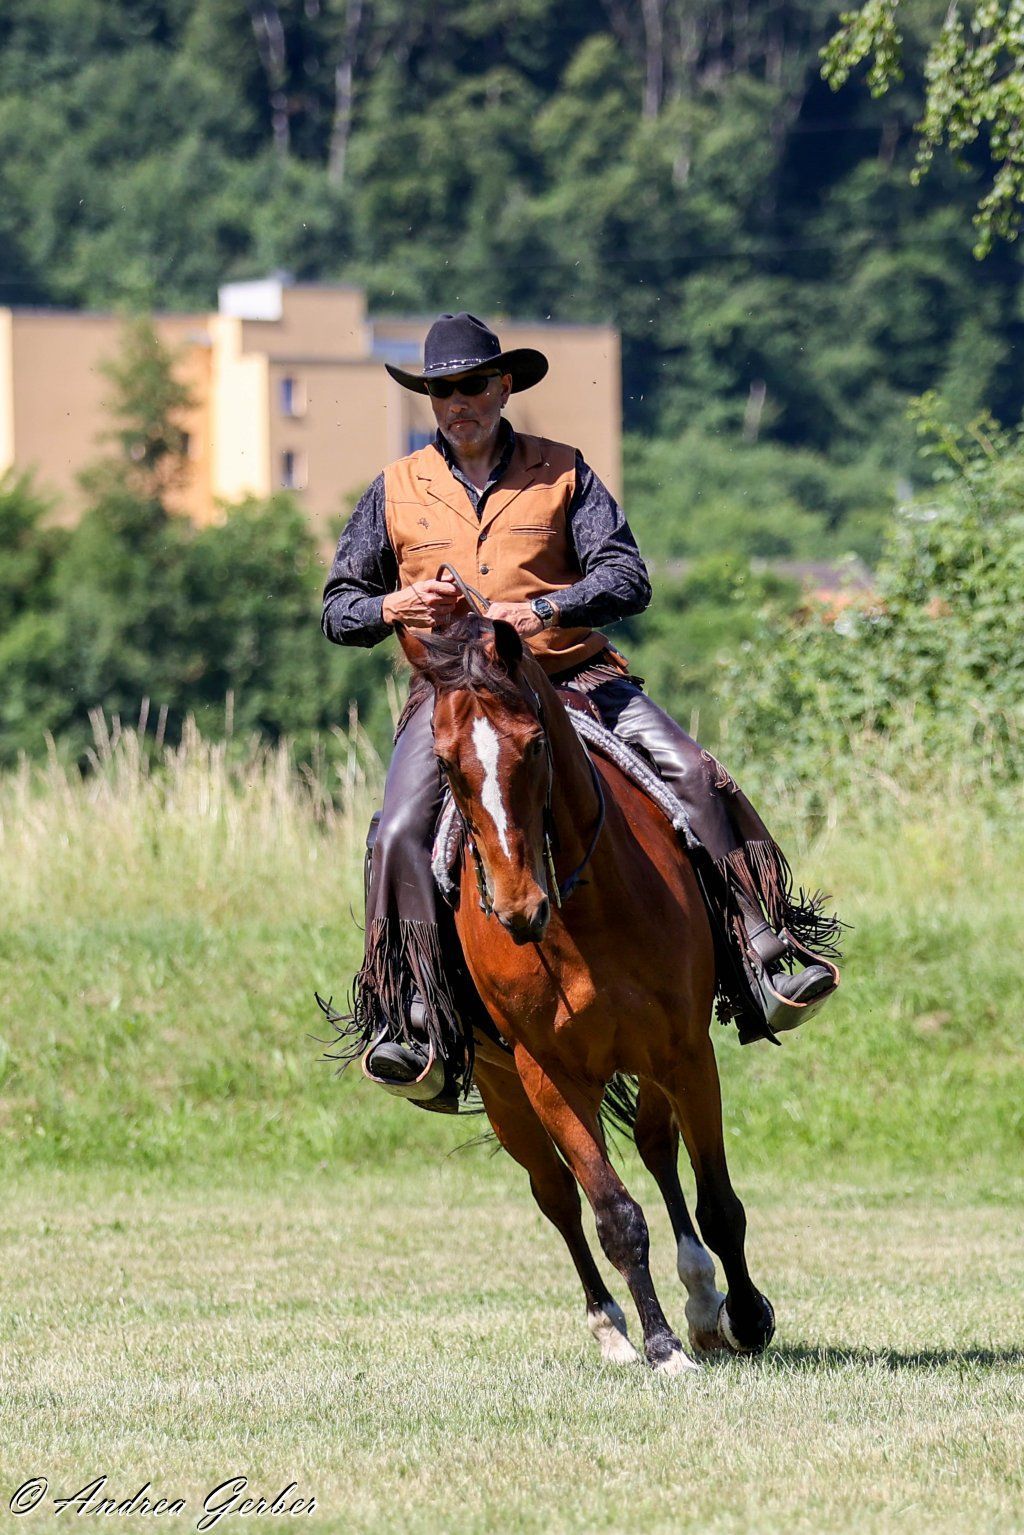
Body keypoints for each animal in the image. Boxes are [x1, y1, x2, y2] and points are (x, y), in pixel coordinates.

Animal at [397, 612, 776, 1374]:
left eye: (536, 744)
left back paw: (703, 1301)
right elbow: (613, 1214)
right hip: (506, 1090)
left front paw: (747, 1316)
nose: (517, 909)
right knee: (558, 1196)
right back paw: (613, 1327)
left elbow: (719, 1203)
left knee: (659, 1150)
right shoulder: (549, 1073)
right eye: (446, 763)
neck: (585, 910)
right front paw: (660, 1346)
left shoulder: (686, 1051)